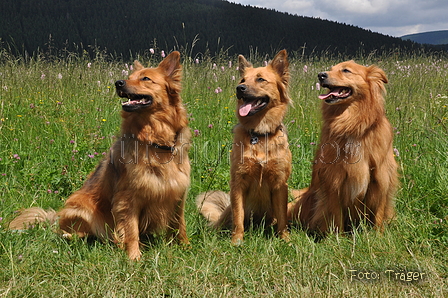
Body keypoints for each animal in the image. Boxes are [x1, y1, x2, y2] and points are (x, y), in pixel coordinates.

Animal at [9, 51, 191, 260]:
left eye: (146, 78)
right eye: (129, 76)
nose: (118, 82)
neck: (155, 140)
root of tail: (56, 218)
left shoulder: (177, 192)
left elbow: (179, 224)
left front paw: (185, 247)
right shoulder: (127, 198)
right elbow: (131, 230)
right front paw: (134, 257)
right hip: (82, 208)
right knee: (72, 232)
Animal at [196, 49, 290, 244]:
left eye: (260, 79)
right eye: (242, 80)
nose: (239, 88)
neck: (259, 135)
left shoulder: (280, 183)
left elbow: (283, 217)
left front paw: (285, 238)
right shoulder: (238, 182)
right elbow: (238, 216)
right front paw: (237, 240)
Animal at [290, 60, 400, 233]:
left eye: (346, 70)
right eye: (331, 69)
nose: (321, 75)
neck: (352, 124)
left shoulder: (381, 178)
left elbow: (379, 212)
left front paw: (379, 235)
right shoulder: (334, 179)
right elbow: (336, 215)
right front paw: (337, 236)